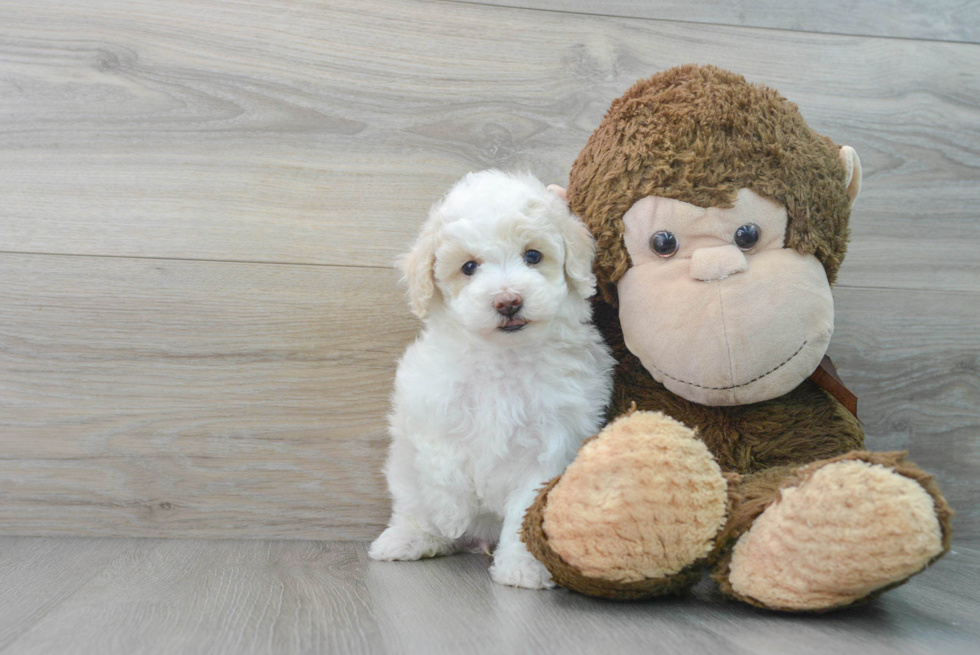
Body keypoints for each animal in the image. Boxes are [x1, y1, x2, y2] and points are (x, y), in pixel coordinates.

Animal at [368, 169, 612, 588]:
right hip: (401, 470)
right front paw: (451, 513)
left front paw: (521, 568)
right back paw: (410, 538)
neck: (503, 357)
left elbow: (525, 507)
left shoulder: (552, 442)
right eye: (469, 267)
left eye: (533, 256)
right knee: (411, 504)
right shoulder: (429, 402)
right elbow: (442, 461)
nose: (508, 301)